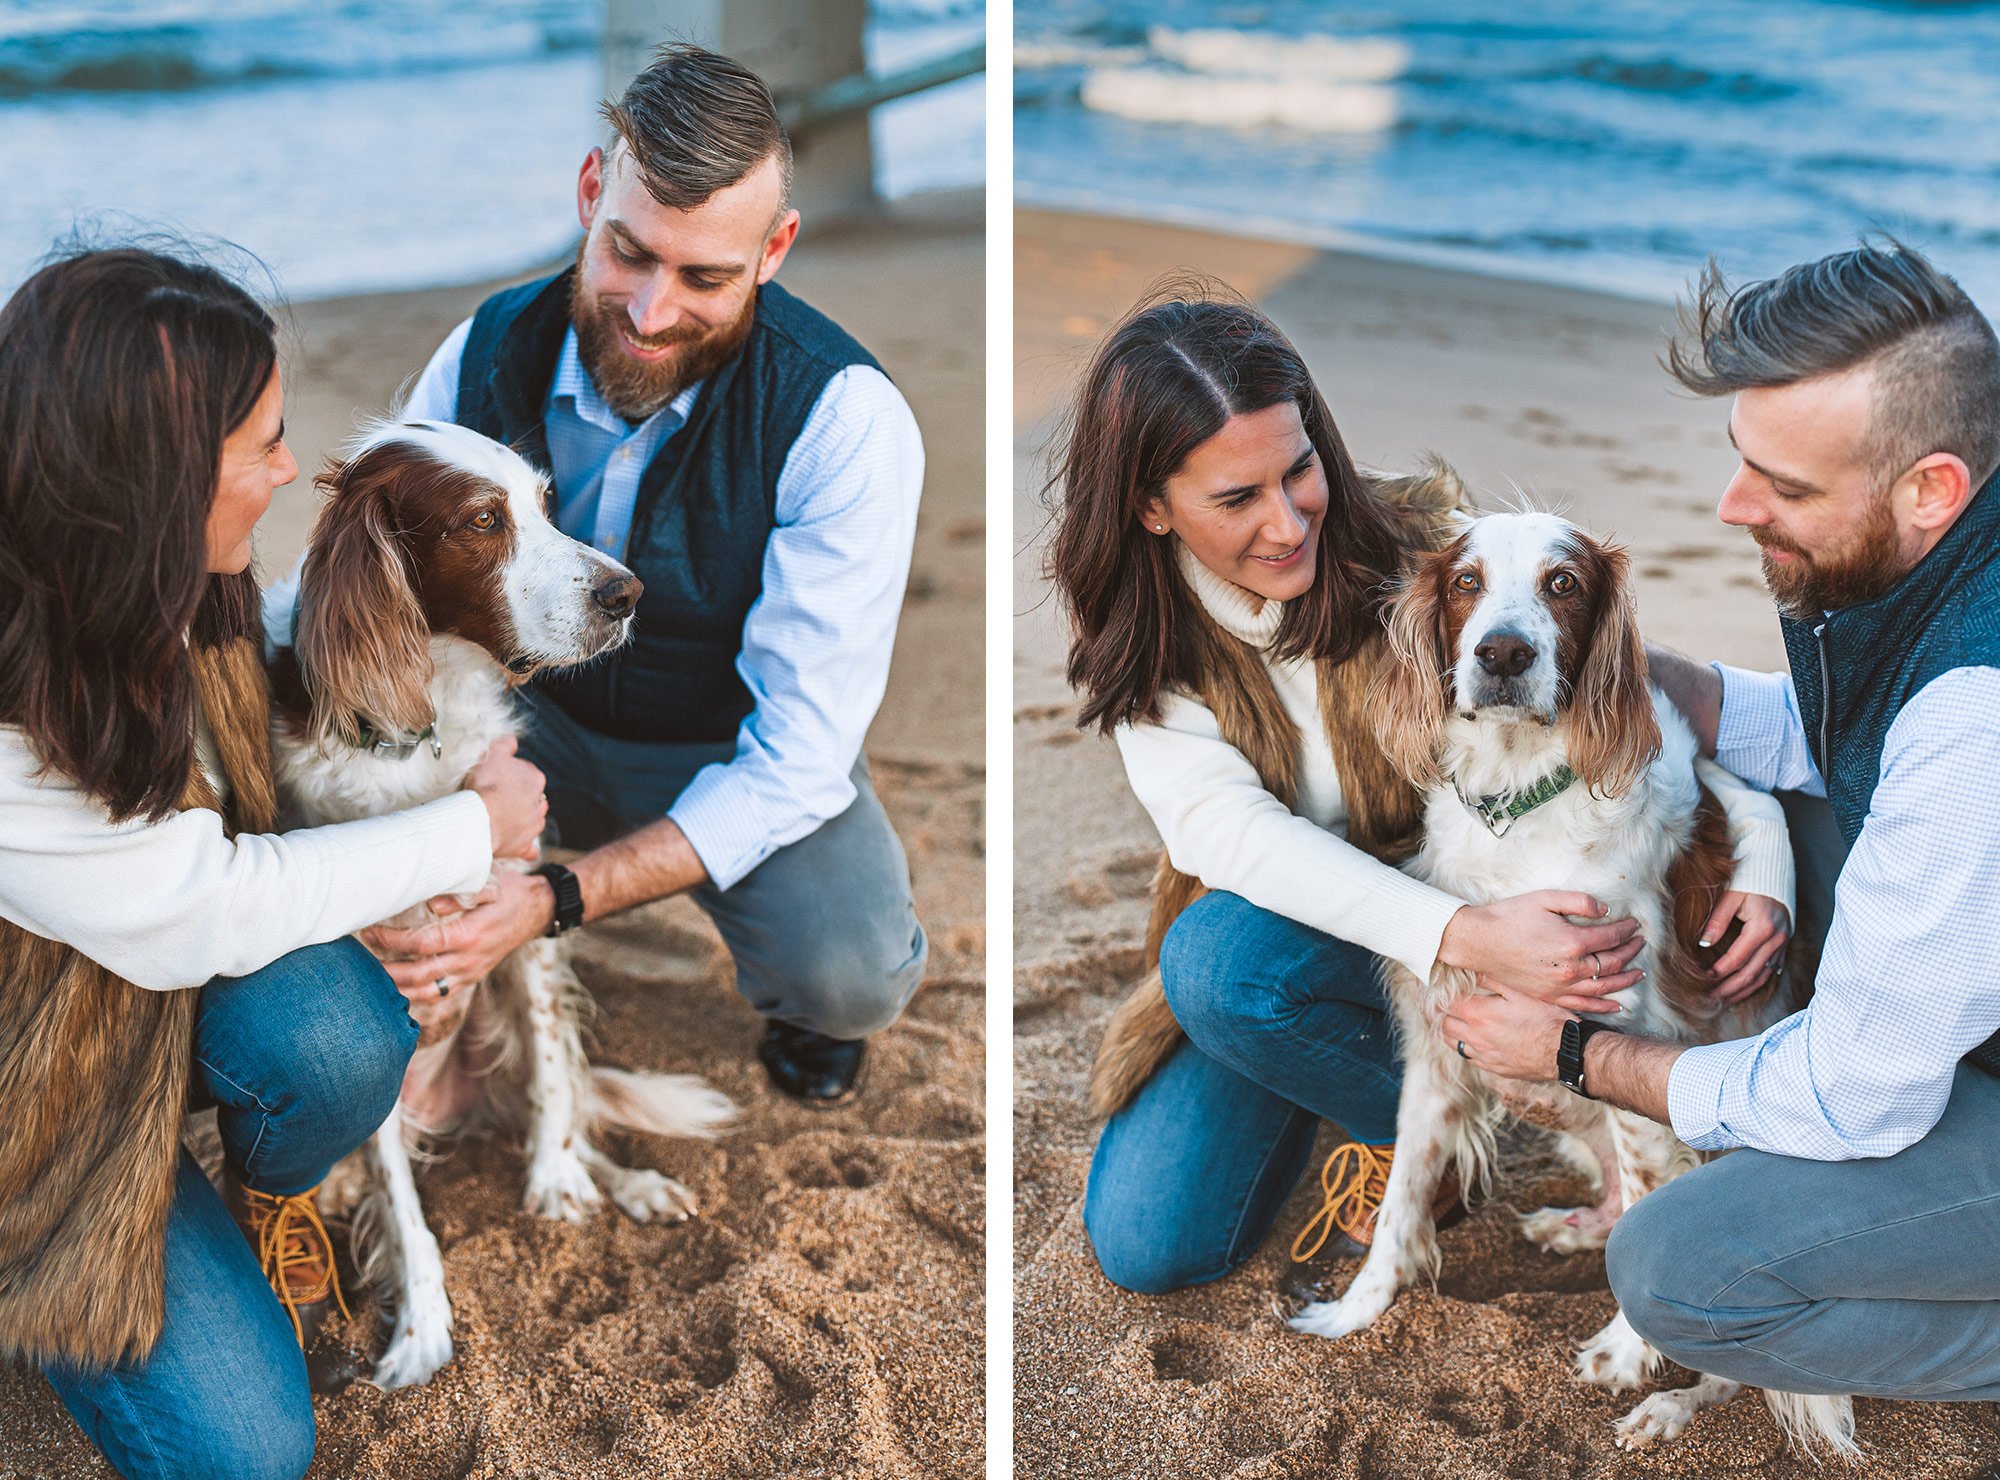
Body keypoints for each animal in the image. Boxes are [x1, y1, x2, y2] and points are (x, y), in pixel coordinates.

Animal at [266, 420, 736, 1384]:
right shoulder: (381, 982)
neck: (427, 721)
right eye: (483, 520)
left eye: (547, 504)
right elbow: (403, 1205)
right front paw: (420, 1329)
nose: (627, 592)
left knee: (563, 1101)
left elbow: (556, 1076)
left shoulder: (522, 911)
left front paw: (561, 1186)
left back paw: (633, 1184)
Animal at [1288, 508, 1848, 1456]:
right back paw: (1571, 1227)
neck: (1521, 809)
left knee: (1737, 1356)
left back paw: (1668, 1404)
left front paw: (1624, 1356)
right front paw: (1357, 1311)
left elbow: (1651, 1215)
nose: (1504, 654)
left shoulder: (1624, 1033)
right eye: (1466, 582)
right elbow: (1402, 1200)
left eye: (1564, 585)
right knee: (1614, 1211)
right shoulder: (1438, 1046)